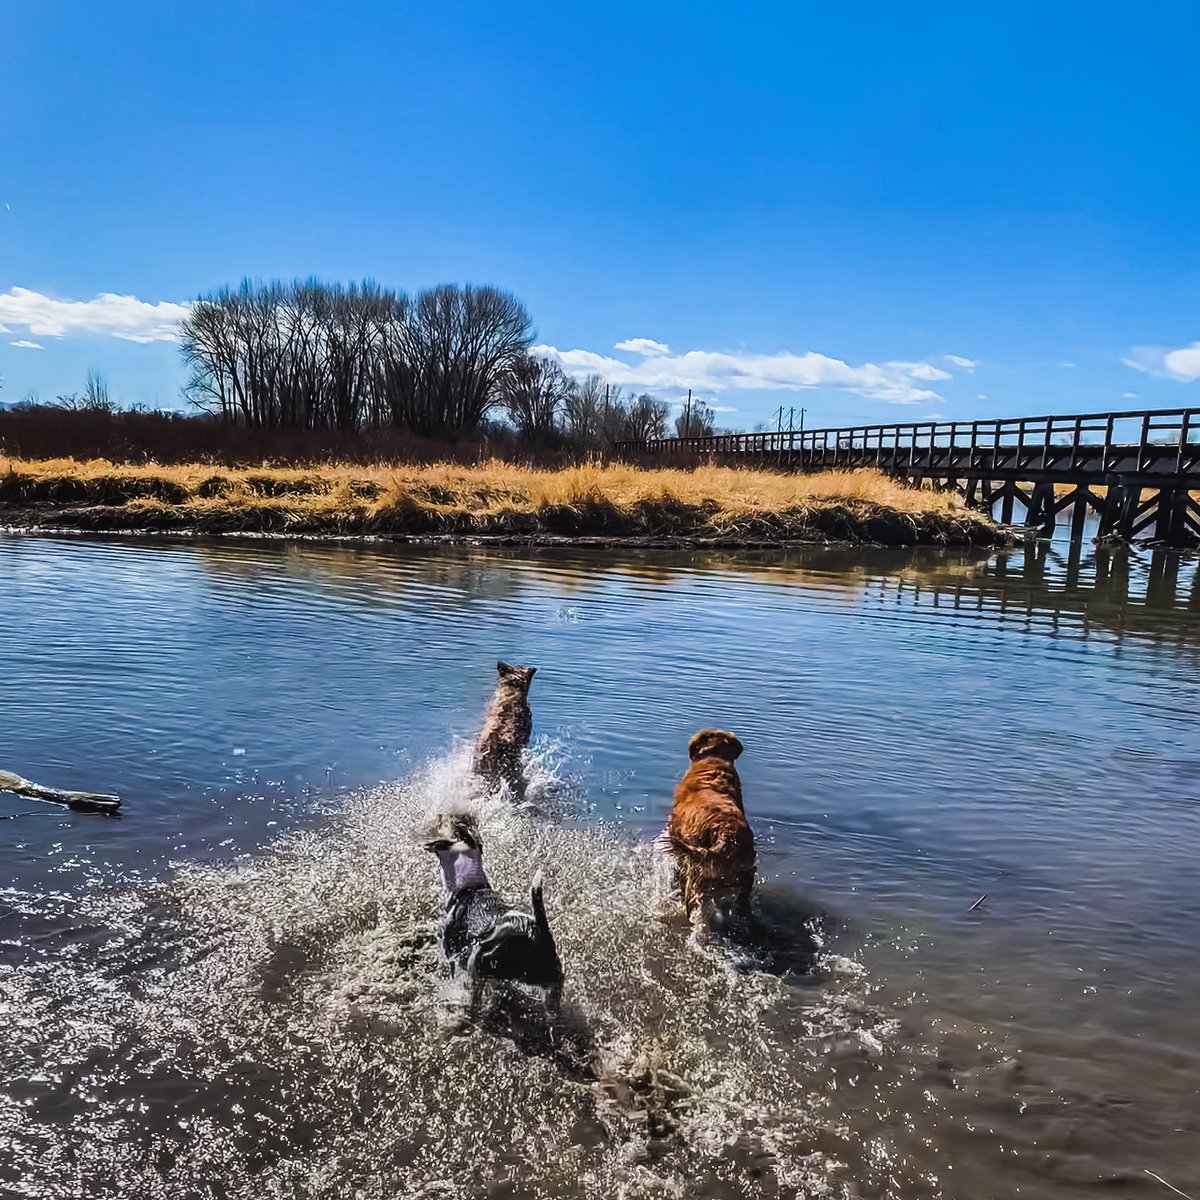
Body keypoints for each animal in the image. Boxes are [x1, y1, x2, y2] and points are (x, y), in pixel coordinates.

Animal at [424, 816, 564, 1012]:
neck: (471, 887)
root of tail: (534, 932)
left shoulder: (452, 954)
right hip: (550, 984)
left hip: (477, 964)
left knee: (473, 996)